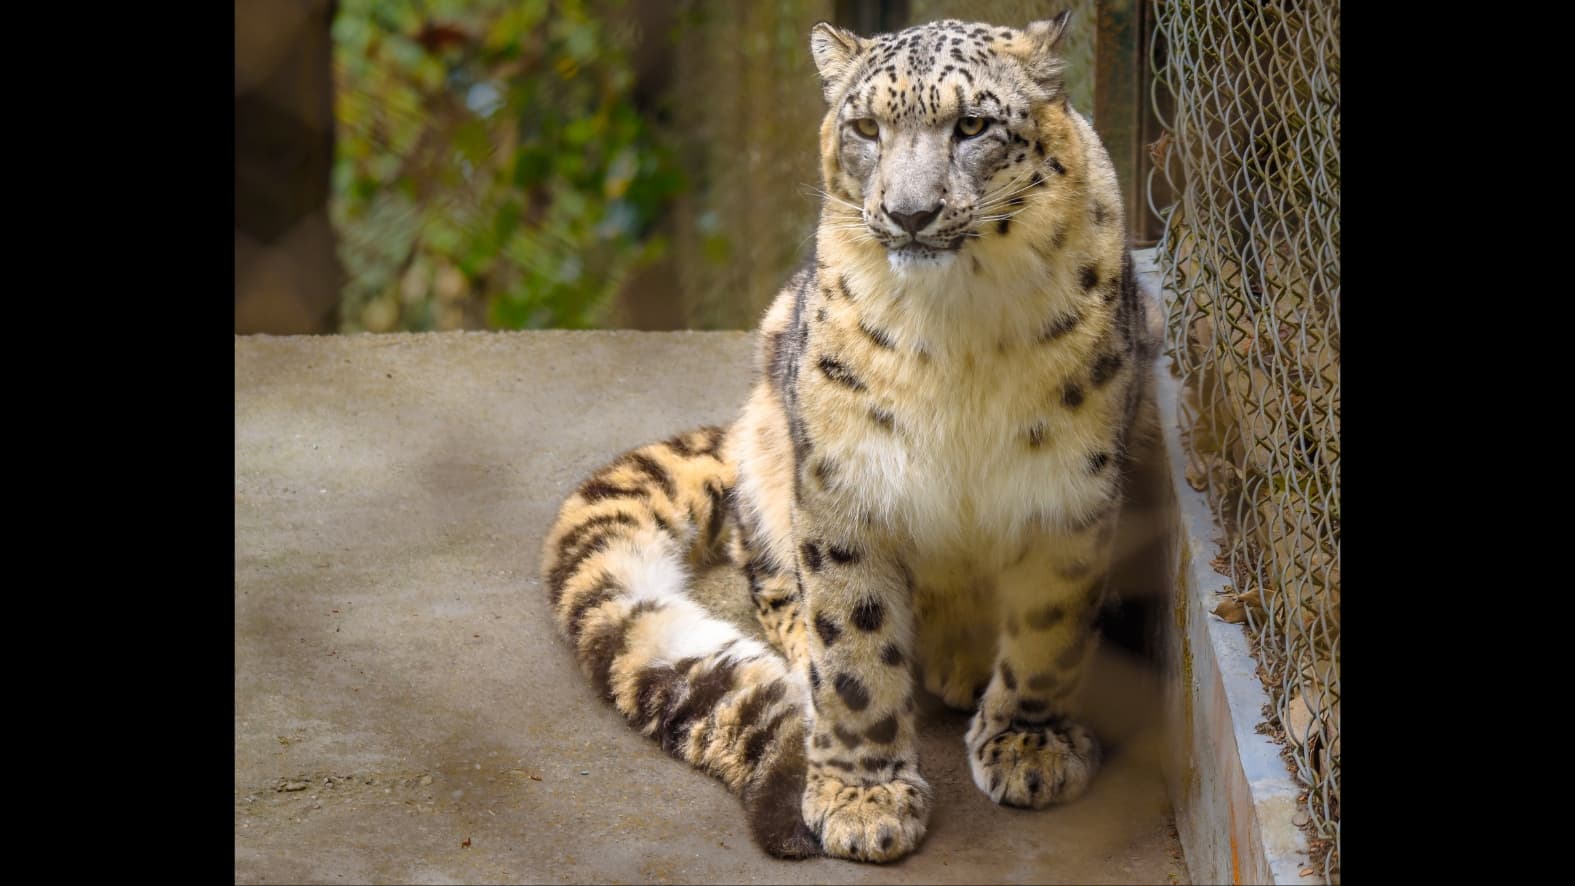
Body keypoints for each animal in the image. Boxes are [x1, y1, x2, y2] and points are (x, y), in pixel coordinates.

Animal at [540, 12, 1160, 864]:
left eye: (972, 126)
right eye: (865, 128)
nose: (909, 213)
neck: (961, 324)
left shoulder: (1069, 484)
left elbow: (1049, 628)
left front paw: (1028, 746)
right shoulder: (846, 479)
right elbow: (857, 649)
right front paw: (862, 799)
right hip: (774, 422)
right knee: (767, 568)